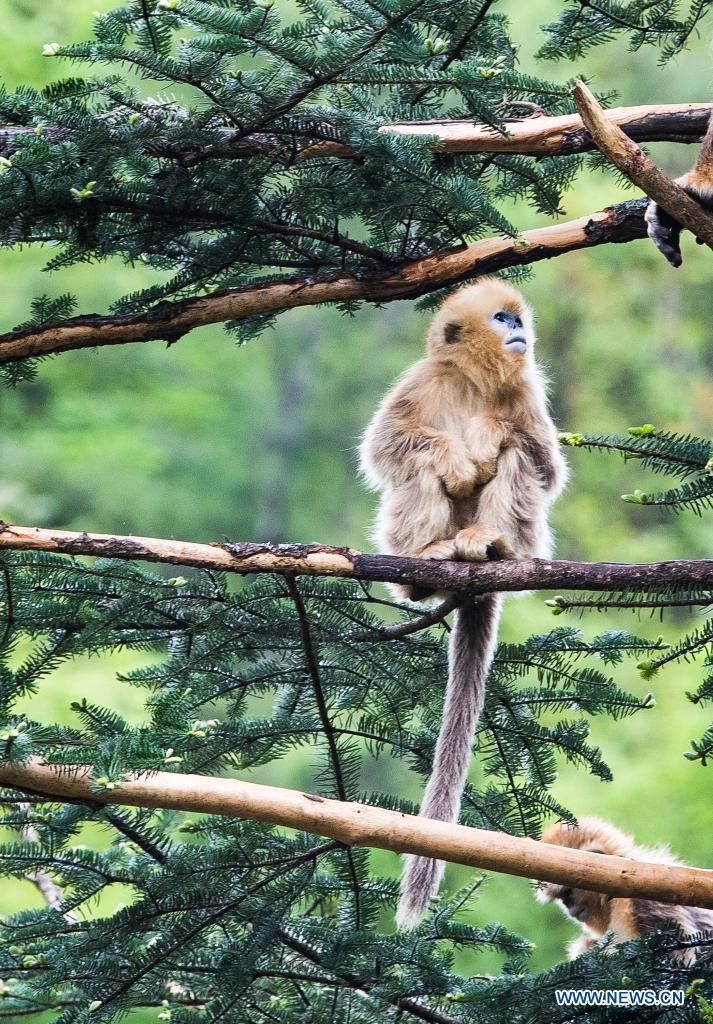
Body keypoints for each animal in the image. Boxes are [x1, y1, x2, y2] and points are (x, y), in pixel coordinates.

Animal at [359, 277, 567, 929]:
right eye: (501, 318)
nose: (518, 331)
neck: (477, 381)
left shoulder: (525, 391)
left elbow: (542, 463)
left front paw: (485, 433)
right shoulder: (422, 377)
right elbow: (387, 448)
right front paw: (457, 455)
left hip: (528, 539)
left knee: (519, 459)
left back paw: (490, 544)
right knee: (418, 465)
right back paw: (428, 561)